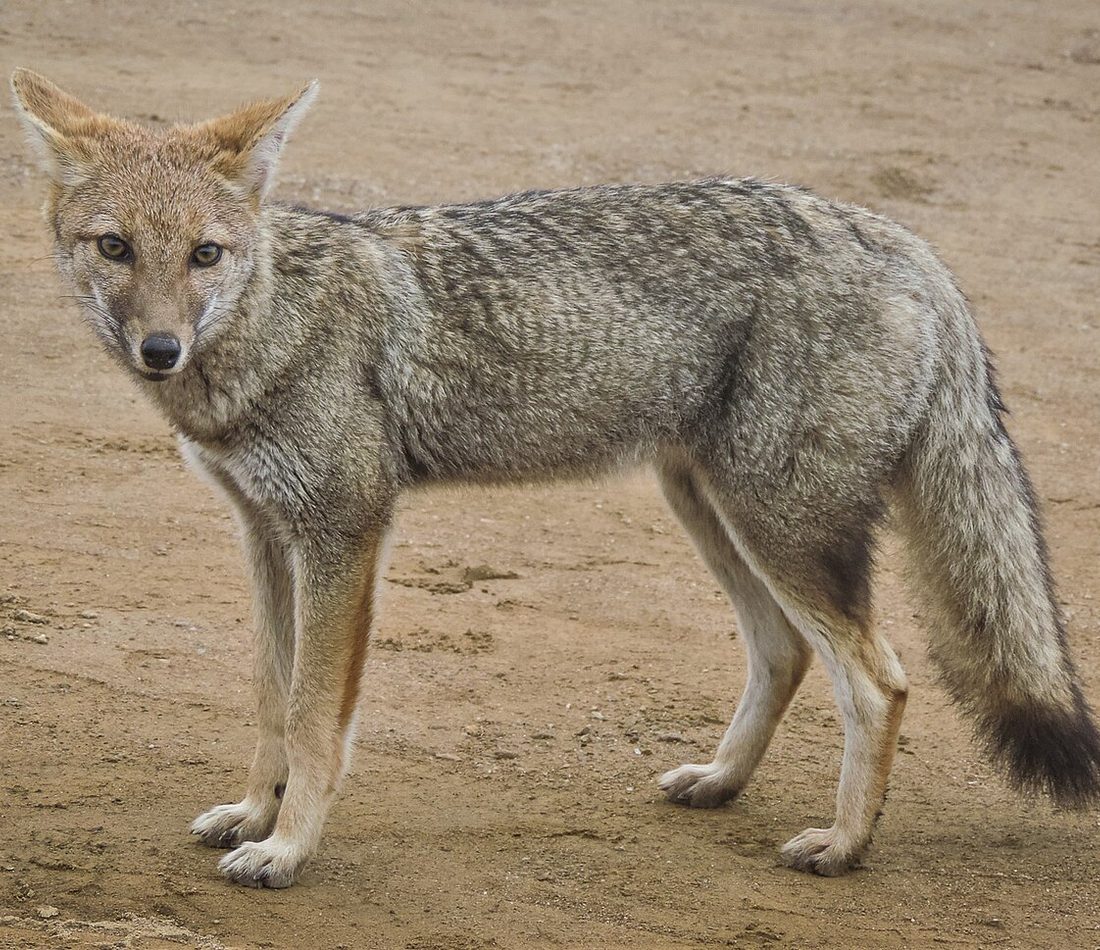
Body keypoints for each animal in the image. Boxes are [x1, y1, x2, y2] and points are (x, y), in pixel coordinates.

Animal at [11, 67, 1100, 889]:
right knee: (783, 651)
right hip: (712, 511)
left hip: (777, 527)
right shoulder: (264, 534)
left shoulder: (343, 532)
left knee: (877, 681)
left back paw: (842, 845)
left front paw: (285, 848)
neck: (276, 325)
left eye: (205, 253)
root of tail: (900, 238)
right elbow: (271, 698)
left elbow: (317, 716)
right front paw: (251, 811)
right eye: (115, 247)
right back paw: (720, 781)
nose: (159, 349)